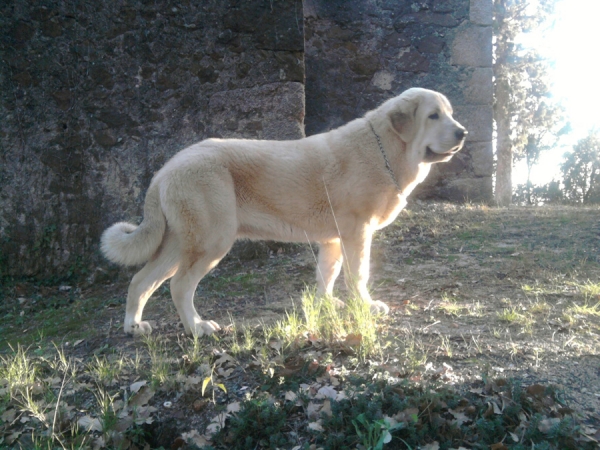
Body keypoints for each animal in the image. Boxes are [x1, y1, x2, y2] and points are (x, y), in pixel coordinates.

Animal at [101, 87, 466, 334]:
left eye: (451, 113)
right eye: (433, 116)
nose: (463, 132)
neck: (384, 150)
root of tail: (166, 169)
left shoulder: (334, 240)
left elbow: (327, 275)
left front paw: (326, 305)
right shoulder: (357, 233)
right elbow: (357, 274)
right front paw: (365, 305)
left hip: (180, 243)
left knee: (141, 280)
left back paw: (133, 326)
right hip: (210, 242)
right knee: (179, 286)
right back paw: (197, 327)